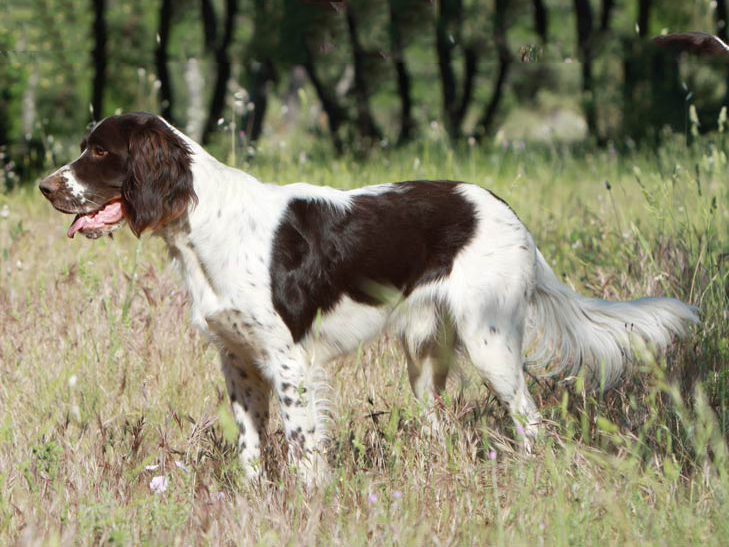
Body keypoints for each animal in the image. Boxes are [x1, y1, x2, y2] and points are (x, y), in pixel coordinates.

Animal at [38, 111, 692, 484]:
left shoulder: (289, 362)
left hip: (492, 342)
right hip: (425, 356)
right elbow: (251, 447)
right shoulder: (238, 362)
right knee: (437, 426)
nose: (46, 187)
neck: (206, 224)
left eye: (101, 151)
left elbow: (303, 447)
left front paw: (309, 504)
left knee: (531, 423)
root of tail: (507, 210)